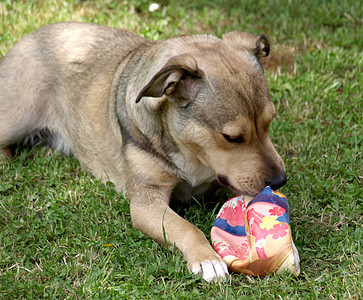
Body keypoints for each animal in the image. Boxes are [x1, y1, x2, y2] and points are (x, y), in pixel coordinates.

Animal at [0, 22, 288, 282]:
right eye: (232, 138)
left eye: (270, 122)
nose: (280, 181)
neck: (190, 149)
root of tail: (32, 36)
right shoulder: (145, 203)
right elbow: (185, 227)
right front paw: (208, 259)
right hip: (17, 117)